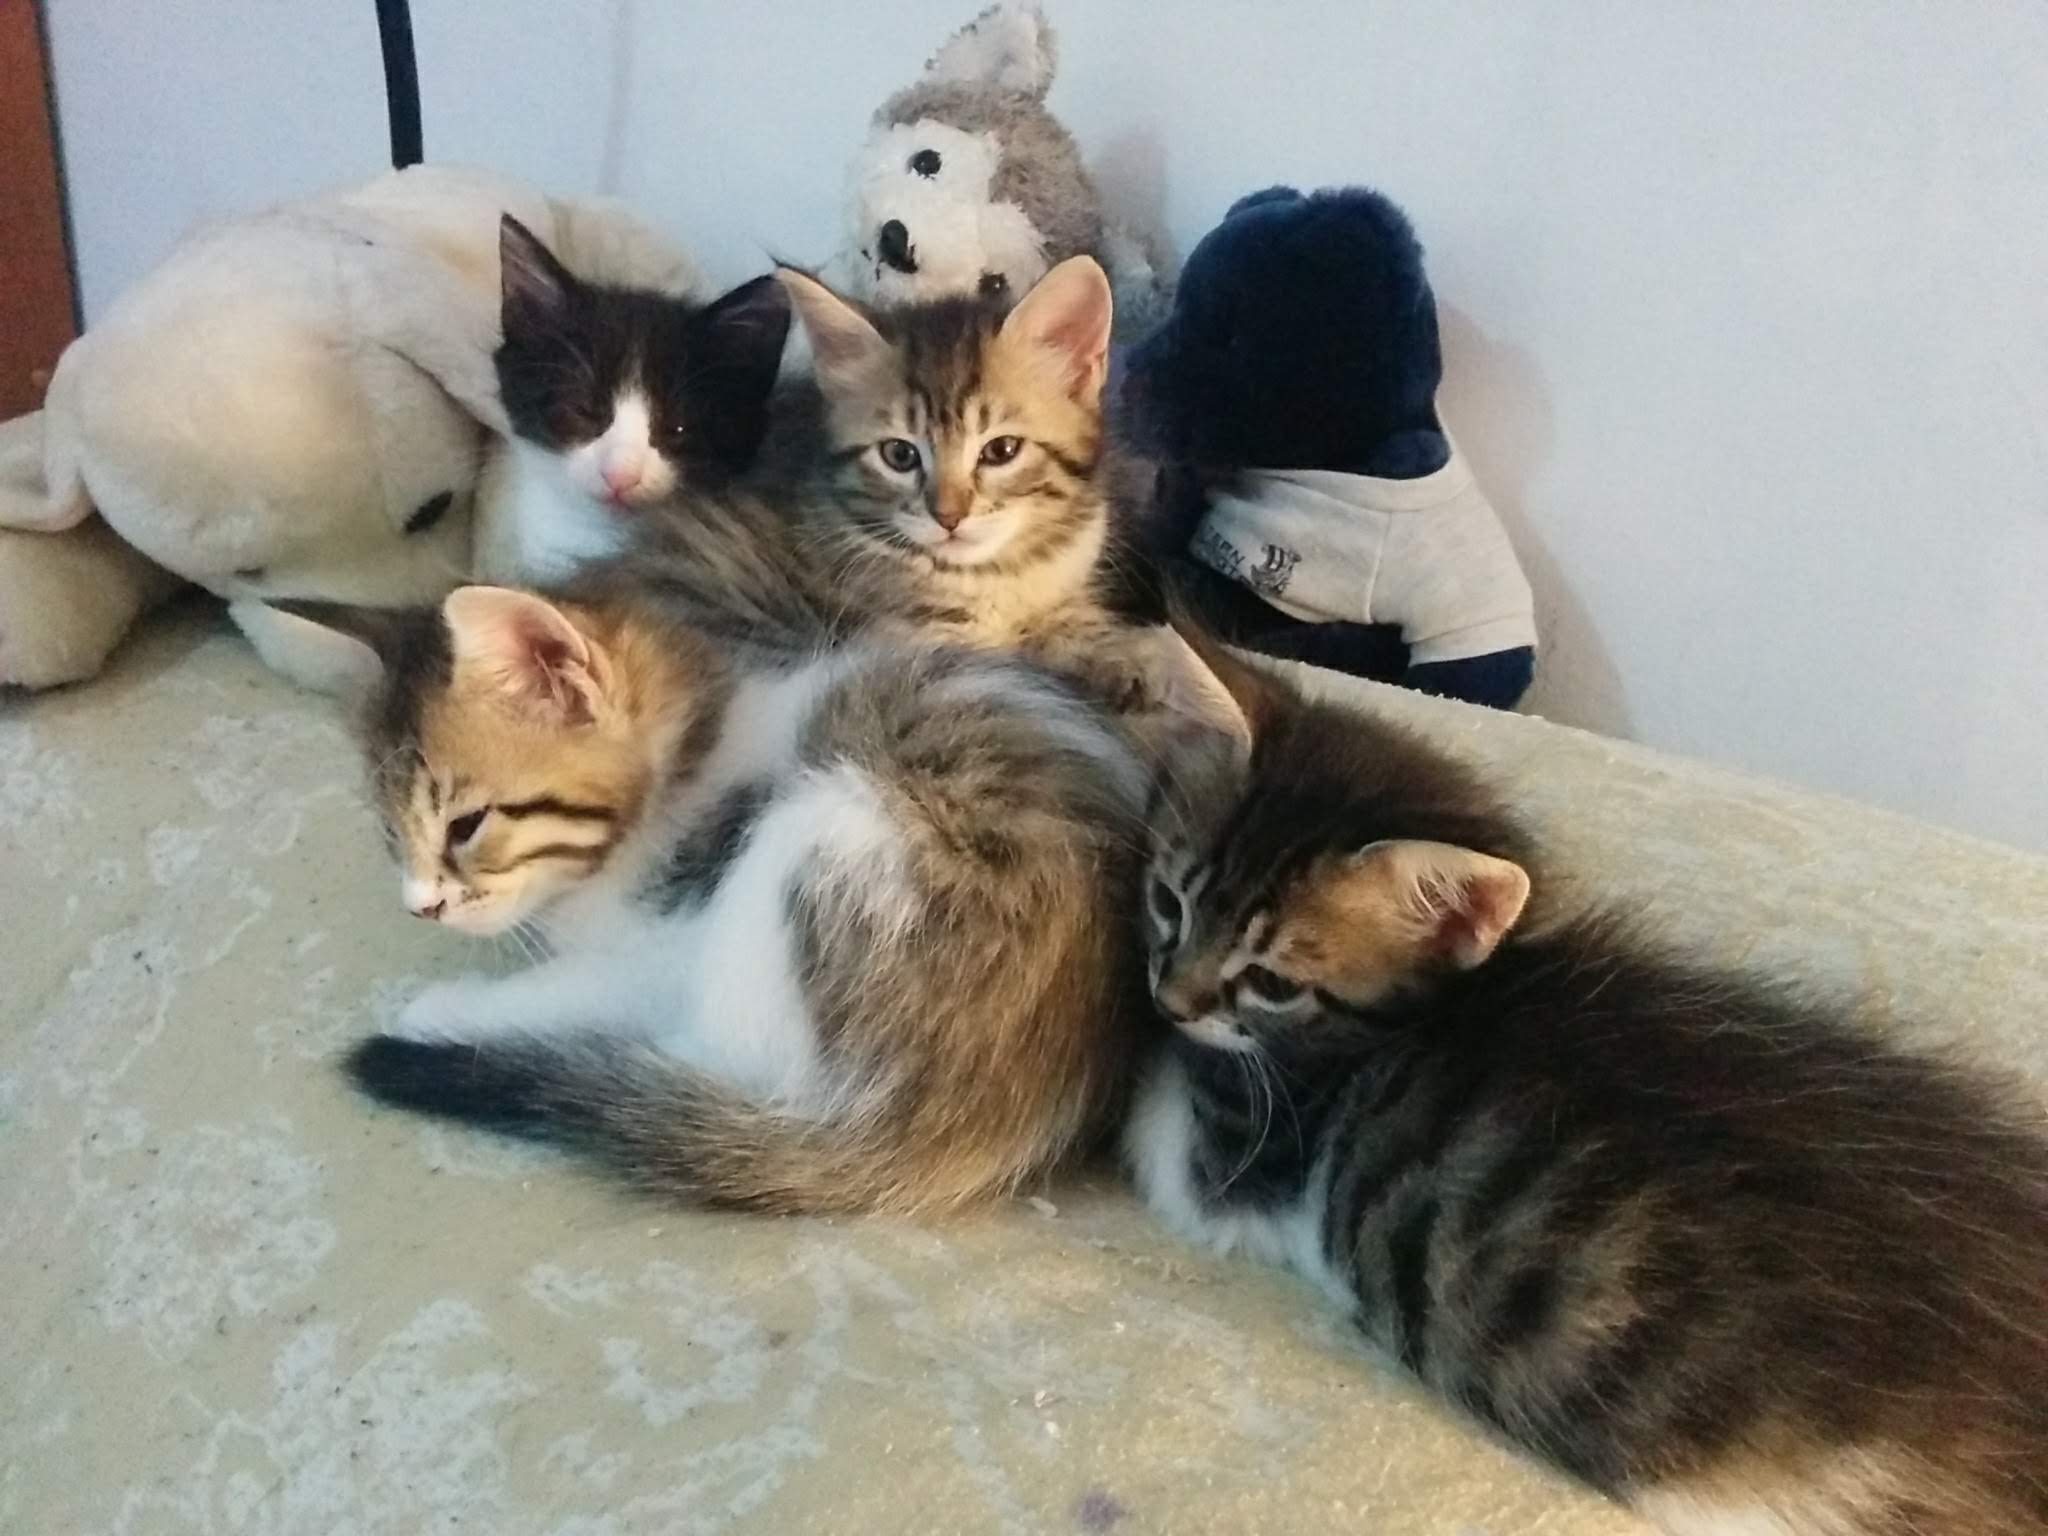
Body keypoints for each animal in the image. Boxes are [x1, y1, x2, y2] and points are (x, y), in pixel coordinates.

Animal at [290, 580, 1157, 1214]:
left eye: (467, 825)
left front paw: (443, 1005)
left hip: (828, 833)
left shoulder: (670, 940)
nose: (421, 906)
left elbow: (576, 982)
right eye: (390, 831)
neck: (687, 755)